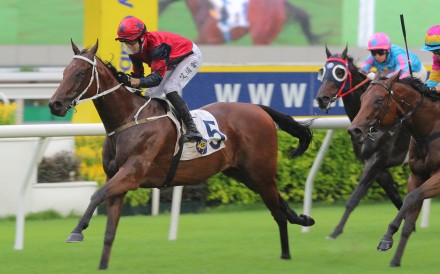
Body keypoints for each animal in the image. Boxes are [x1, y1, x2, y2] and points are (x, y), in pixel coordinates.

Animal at [49, 40, 316, 270]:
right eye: (64, 72)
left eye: (80, 73)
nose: (55, 104)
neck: (128, 118)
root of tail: (257, 108)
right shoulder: (117, 180)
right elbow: (109, 230)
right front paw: (102, 265)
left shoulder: (132, 174)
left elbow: (96, 195)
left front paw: (77, 231)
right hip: (244, 174)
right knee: (279, 205)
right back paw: (302, 221)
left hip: (260, 172)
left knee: (277, 212)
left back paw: (286, 252)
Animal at [314, 46, 410, 239]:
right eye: (322, 70)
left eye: (339, 72)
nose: (322, 99)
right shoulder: (379, 168)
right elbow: (397, 198)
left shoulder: (375, 161)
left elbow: (353, 199)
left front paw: (335, 232)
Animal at [348, 71, 438, 266]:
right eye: (362, 97)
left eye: (379, 100)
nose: (354, 131)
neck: (431, 130)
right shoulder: (416, 176)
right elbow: (409, 213)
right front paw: (395, 260)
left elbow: (411, 197)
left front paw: (387, 237)